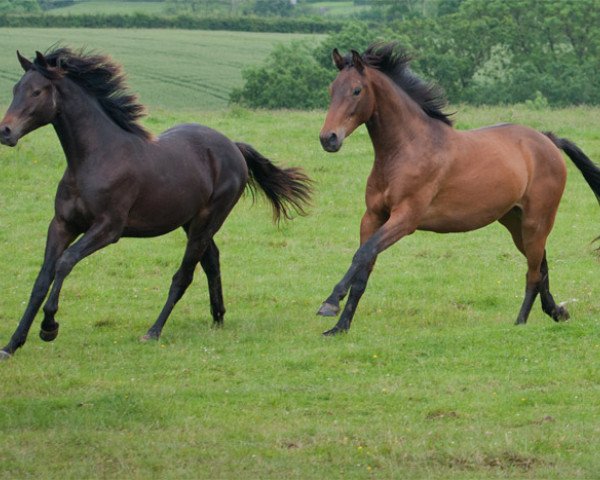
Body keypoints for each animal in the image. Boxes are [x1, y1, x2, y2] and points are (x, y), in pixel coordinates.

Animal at [0, 48, 312, 358]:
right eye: (16, 89)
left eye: (37, 92)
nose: (5, 132)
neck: (96, 158)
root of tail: (234, 147)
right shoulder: (62, 224)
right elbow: (42, 279)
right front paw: (12, 344)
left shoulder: (108, 228)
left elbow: (65, 262)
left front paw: (49, 327)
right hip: (191, 222)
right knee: (211, 260)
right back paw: (218, 317)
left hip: (207, 221)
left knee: (184, 275)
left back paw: (154, 330)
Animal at [316, 43, 596, 336]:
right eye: (331, 89)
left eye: (357, 90)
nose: (328, 139)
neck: (407, 150)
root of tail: (548, 140)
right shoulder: (372, 217)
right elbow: (363, 266)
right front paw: (340, 326)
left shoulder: (405, 219)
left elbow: (362, 254)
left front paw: (330, 303)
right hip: (515, 222)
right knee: (541, 265)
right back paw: (557, 311)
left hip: (537, 220)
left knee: (533, 272)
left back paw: (520, 322)